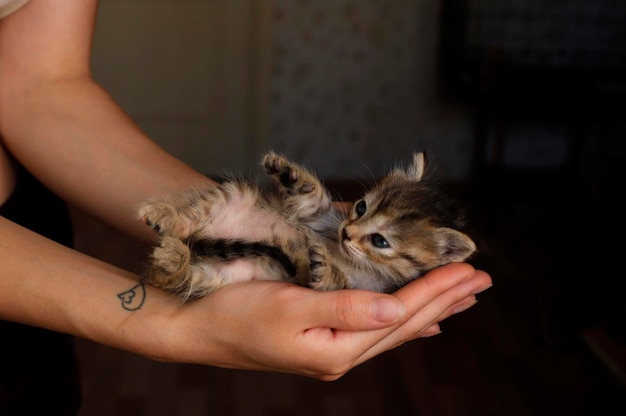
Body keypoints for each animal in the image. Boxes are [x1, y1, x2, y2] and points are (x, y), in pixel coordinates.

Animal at [139, 151, 476, 300]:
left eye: (380, 241)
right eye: (361, 207)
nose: (346, 233)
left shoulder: (371, 288)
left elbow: (337, 284)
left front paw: (326, 272)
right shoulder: (322, 217)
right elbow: (312, 197)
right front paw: (288, 173)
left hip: (218, 277)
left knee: (175, 278)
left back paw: (172, 260)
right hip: (233, 194)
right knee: (185, 227)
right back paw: (167, 219)